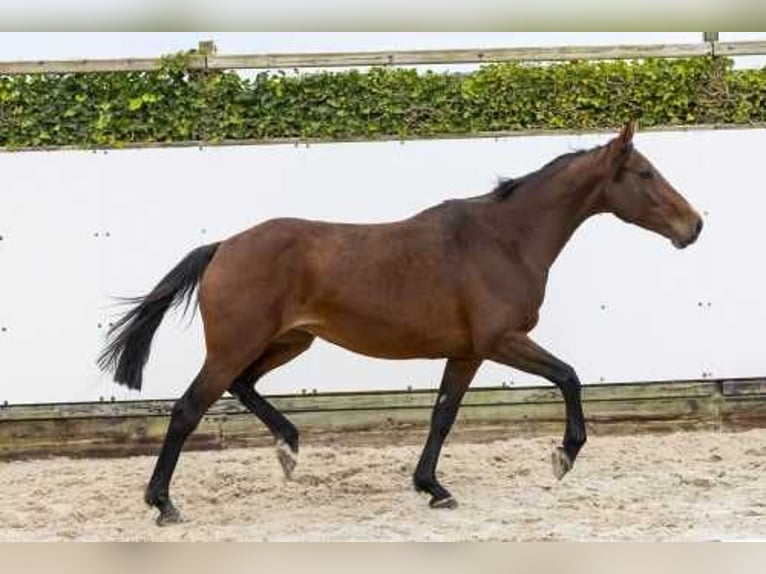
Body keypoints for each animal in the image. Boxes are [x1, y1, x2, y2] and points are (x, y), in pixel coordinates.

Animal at [99, 122, 704, 528]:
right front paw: (563, 456)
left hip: (289, 340)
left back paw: (289, 448)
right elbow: (569, 376)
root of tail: (224, 246)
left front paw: (432, 487)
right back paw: (164, 503)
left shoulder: (467, 352)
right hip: (235, 346)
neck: (503, 239)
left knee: (243, 388)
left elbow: (442, 416)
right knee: (187, 410)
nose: (694, 226)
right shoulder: (502, 341)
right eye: (646, 173)